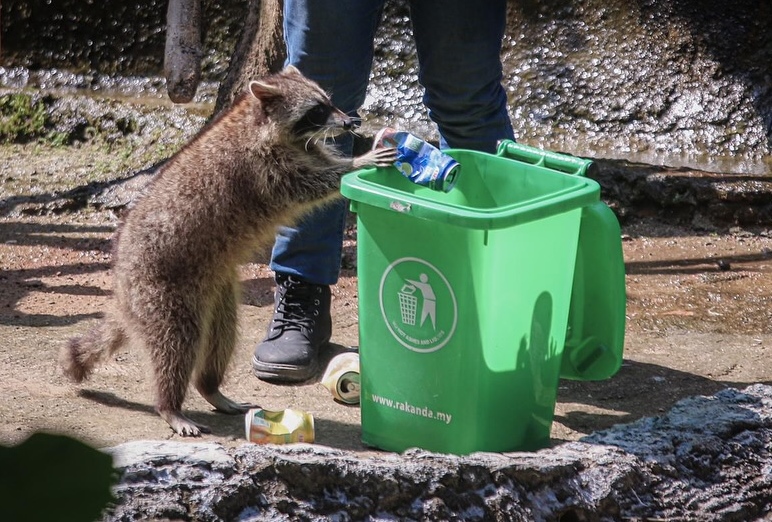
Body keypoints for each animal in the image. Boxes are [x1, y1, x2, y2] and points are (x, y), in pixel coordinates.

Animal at [60, 65, 396, 434]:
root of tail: (122, 290)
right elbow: (313, 184)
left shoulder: (302, 149)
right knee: (177, 345)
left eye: (328, 103)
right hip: (161, 291)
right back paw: (169, 404)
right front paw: (358, 162)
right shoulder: (263, 169)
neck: (259, 121)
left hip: (217, 293)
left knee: (221, 338)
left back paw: (210, 386)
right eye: (317, 111)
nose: (351, 123)